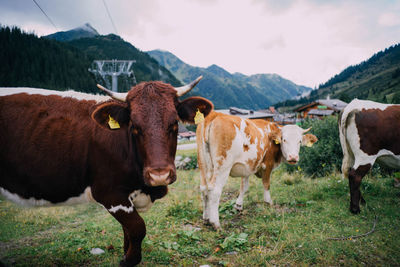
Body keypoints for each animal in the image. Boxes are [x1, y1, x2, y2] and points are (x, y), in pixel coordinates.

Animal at [0, 76, 214, 266]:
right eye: (134, 126)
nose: (159, 175)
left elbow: (128, 230)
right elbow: (137, 228)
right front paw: (128, 260)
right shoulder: (108, 192)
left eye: (174, 123)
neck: (144, 188)